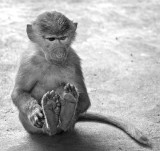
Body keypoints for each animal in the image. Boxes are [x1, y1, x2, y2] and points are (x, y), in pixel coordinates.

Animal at [11, 11, 151, 146]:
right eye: (51, 39)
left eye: (63, 38)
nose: (60, 52)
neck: (50, 62)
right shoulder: (28, 62)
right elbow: (19, 92)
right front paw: (34, 111)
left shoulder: (73, 60)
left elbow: (85, 99)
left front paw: (68, 104)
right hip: (28, 125)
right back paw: (51, 116)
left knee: (64, 94)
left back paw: (62, 113)